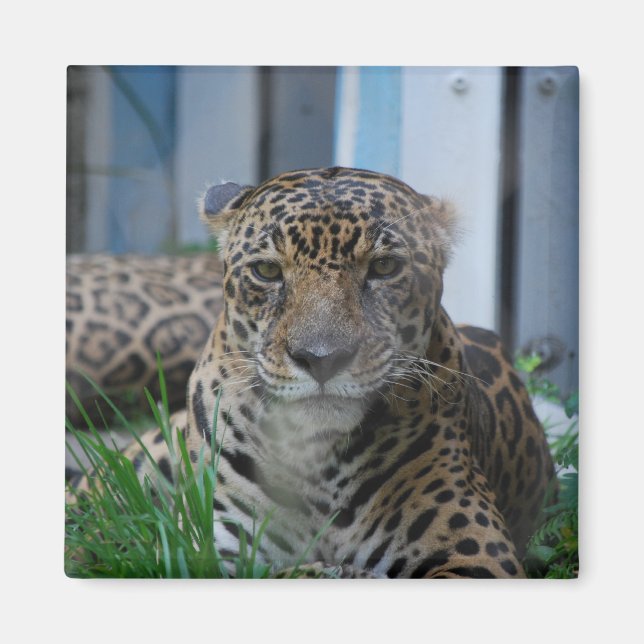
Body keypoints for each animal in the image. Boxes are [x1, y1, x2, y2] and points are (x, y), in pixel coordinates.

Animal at [68, 167, 556, 578]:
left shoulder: (476, 558)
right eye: (267, 270)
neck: (320, 461)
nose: (320, 358)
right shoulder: (203, 553)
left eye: (384, 267)